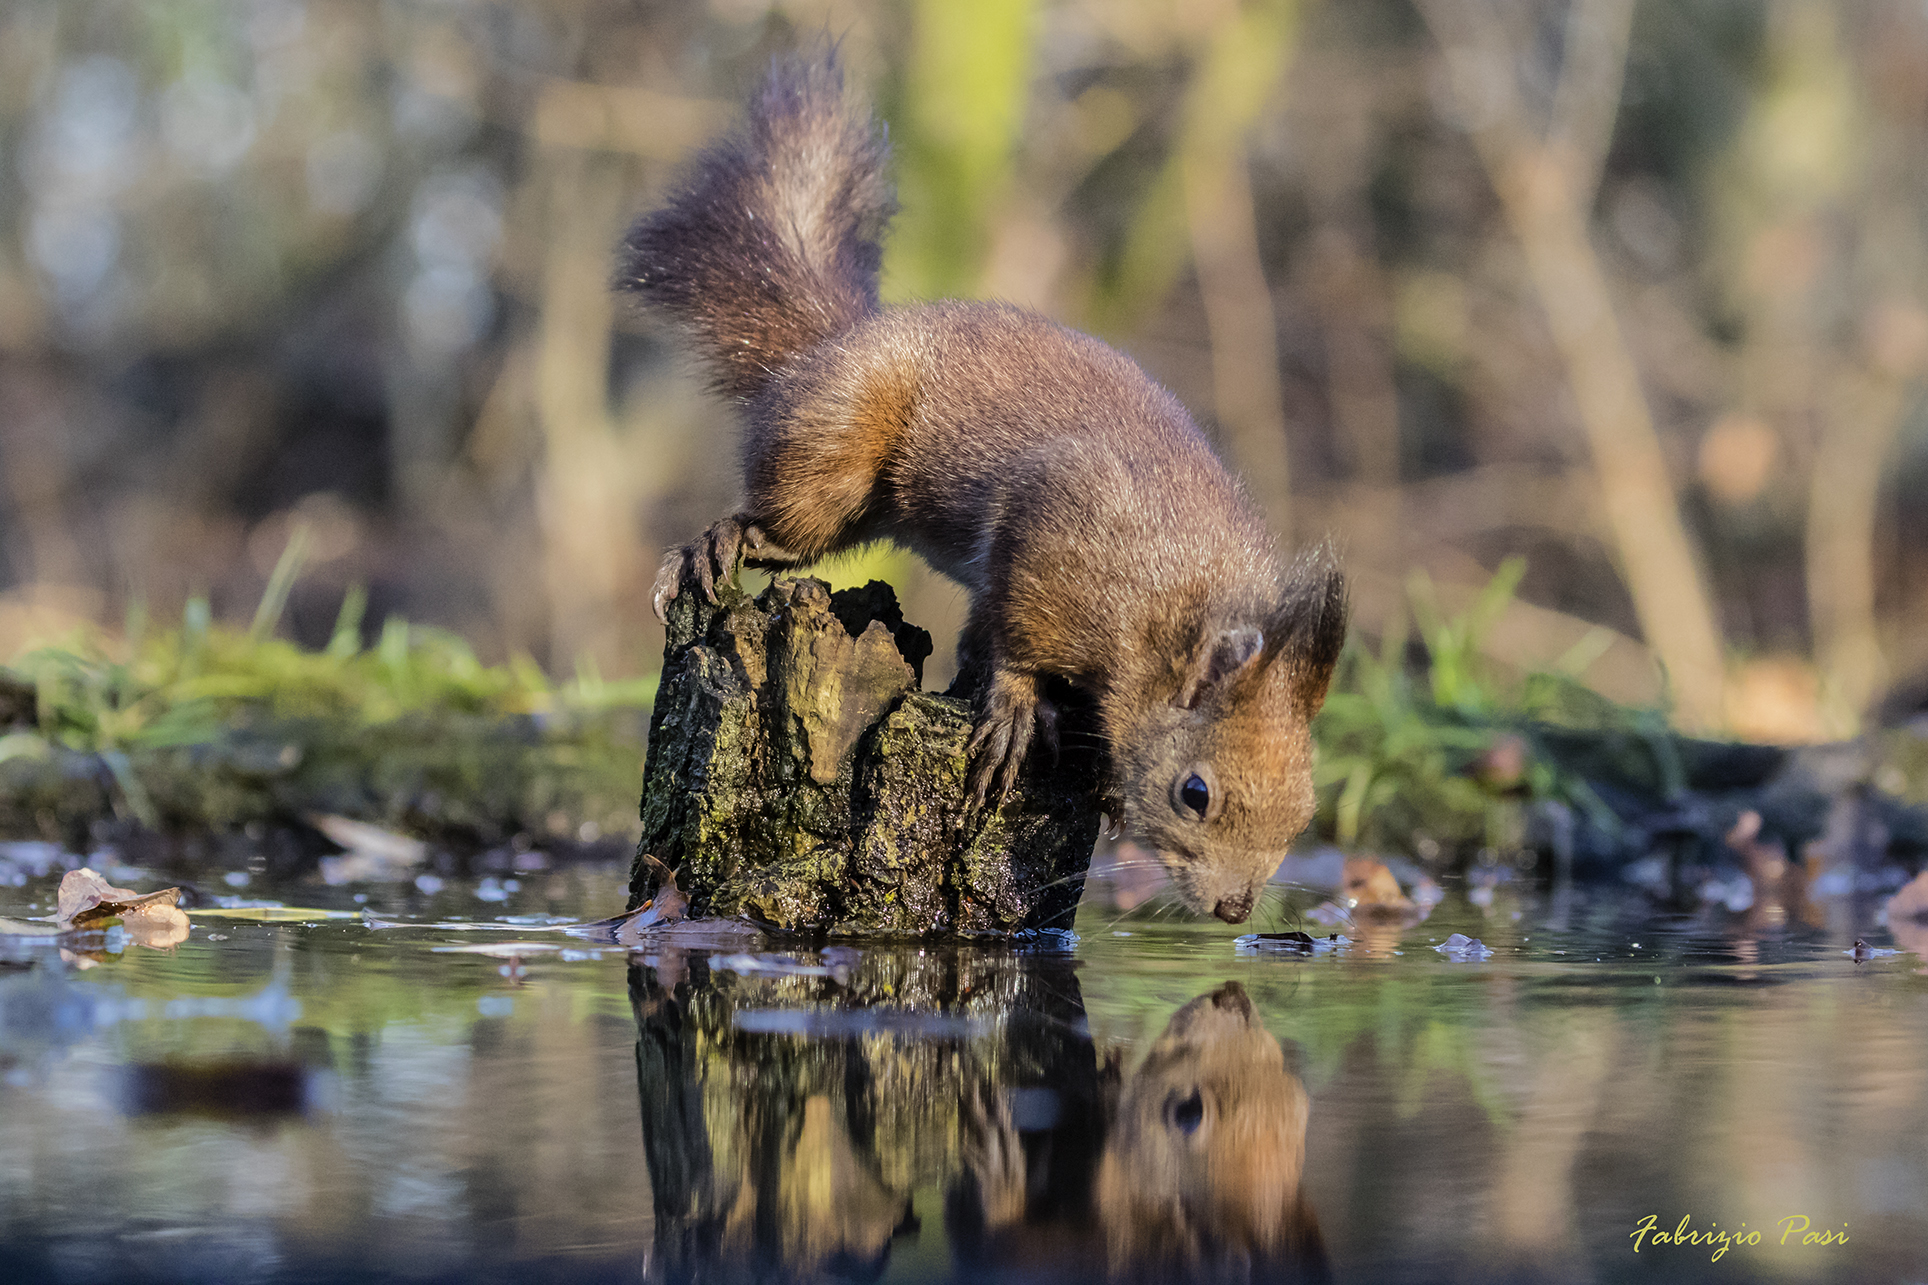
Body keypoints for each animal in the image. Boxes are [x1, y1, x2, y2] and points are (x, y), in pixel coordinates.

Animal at [619, 53, 1347, 924]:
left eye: (1304, 812)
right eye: (1193, 792)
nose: (1234, 909)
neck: (1169, 609)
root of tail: (833, 344)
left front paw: (1099, 773)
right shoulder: (1054, 527)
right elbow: (1019, 638)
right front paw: (1015, 706)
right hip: (835, 456)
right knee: (787, 523)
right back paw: (723, 541)